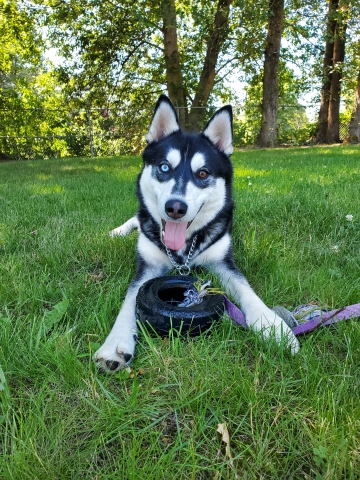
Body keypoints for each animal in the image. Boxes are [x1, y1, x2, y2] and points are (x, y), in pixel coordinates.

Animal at [94, 94, 300, 372]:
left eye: (202, 173)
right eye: (164, 167)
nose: (175, 208)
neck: (183, 251)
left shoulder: (223, 262)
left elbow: (247, 291)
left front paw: (273, 326)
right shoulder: (147, 265)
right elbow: (130, 300)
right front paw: (115, 343)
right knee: (135, 219)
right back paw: (117, 231)